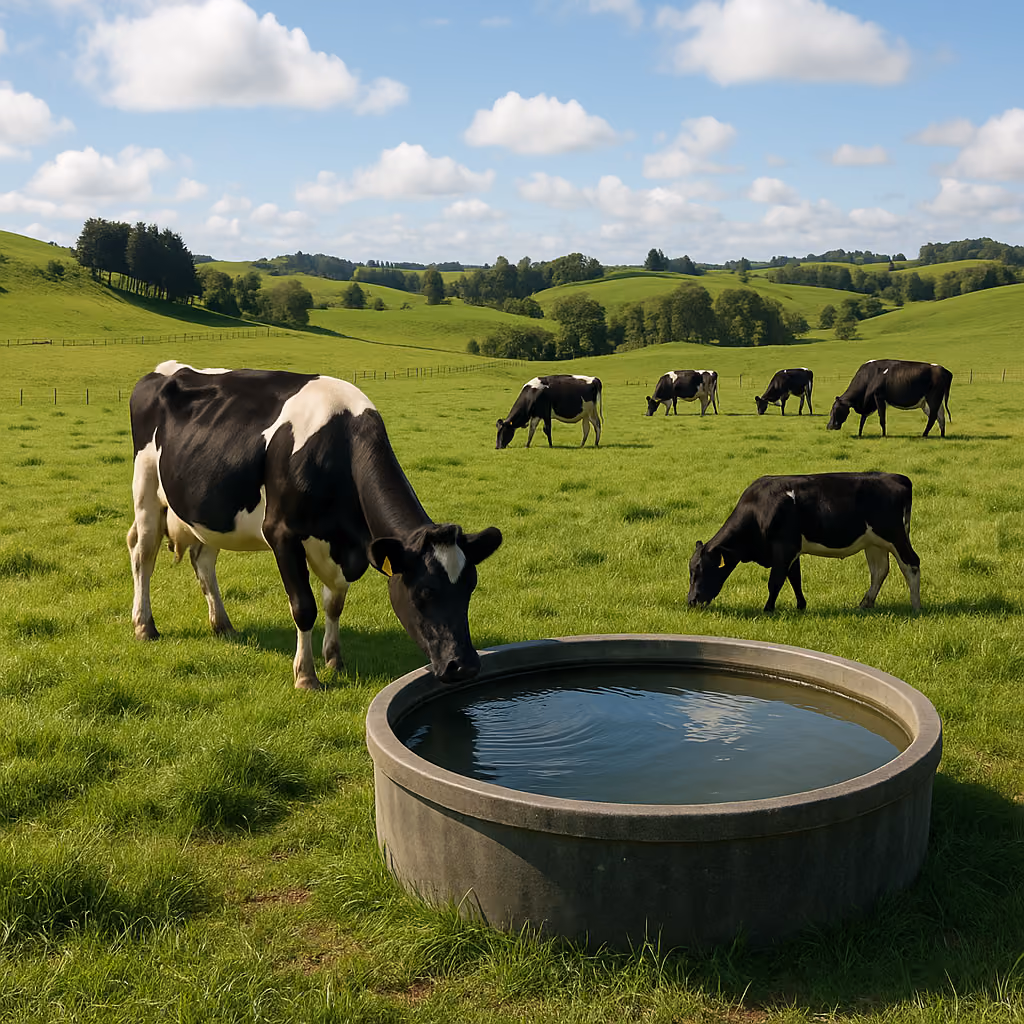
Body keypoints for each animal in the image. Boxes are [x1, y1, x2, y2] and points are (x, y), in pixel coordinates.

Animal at [127, 361, 503, 691]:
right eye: (424, 591)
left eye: (470, 586)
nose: (464, 665)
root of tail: (165, 369)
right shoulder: (282, 534)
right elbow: (304, 606)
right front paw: (306, 676)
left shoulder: (344, 548)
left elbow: (334, 603)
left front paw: (334, 659)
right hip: (145, 486)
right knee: (143, 554)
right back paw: (145, 626)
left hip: (207, 510)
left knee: (203, 561)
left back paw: (223, 626)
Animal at [687, 473, 921, 613]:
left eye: (701, 569)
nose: (691, 601)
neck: (758, 509)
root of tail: (897, 477)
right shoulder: (792, 551)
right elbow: (795, 579)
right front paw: (801, 606)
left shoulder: (784, 547)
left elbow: (776, 581)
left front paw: (768, 609)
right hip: (874, 543)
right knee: (879, 570)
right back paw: (865, 603)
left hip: (895, 536)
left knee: (911, 564)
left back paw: (915, 606)